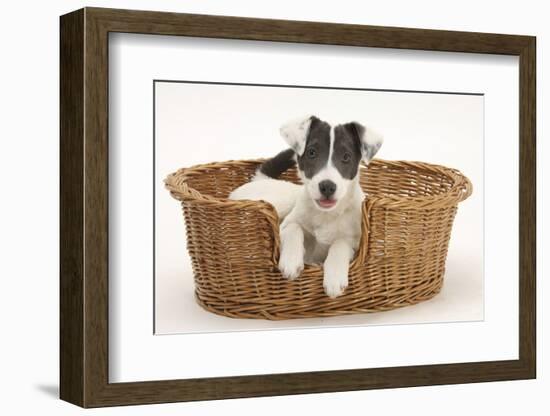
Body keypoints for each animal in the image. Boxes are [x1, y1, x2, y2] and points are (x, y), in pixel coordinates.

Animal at [229, 115, 384, 298]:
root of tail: (262, 179)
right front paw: (291, 260)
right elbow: (294, 228)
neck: (326, 214)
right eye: (312, 153)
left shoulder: (355, 243)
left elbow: (340, 243)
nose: (327, 187)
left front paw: (334, 277)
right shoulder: (285, 226)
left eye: (346, 157)